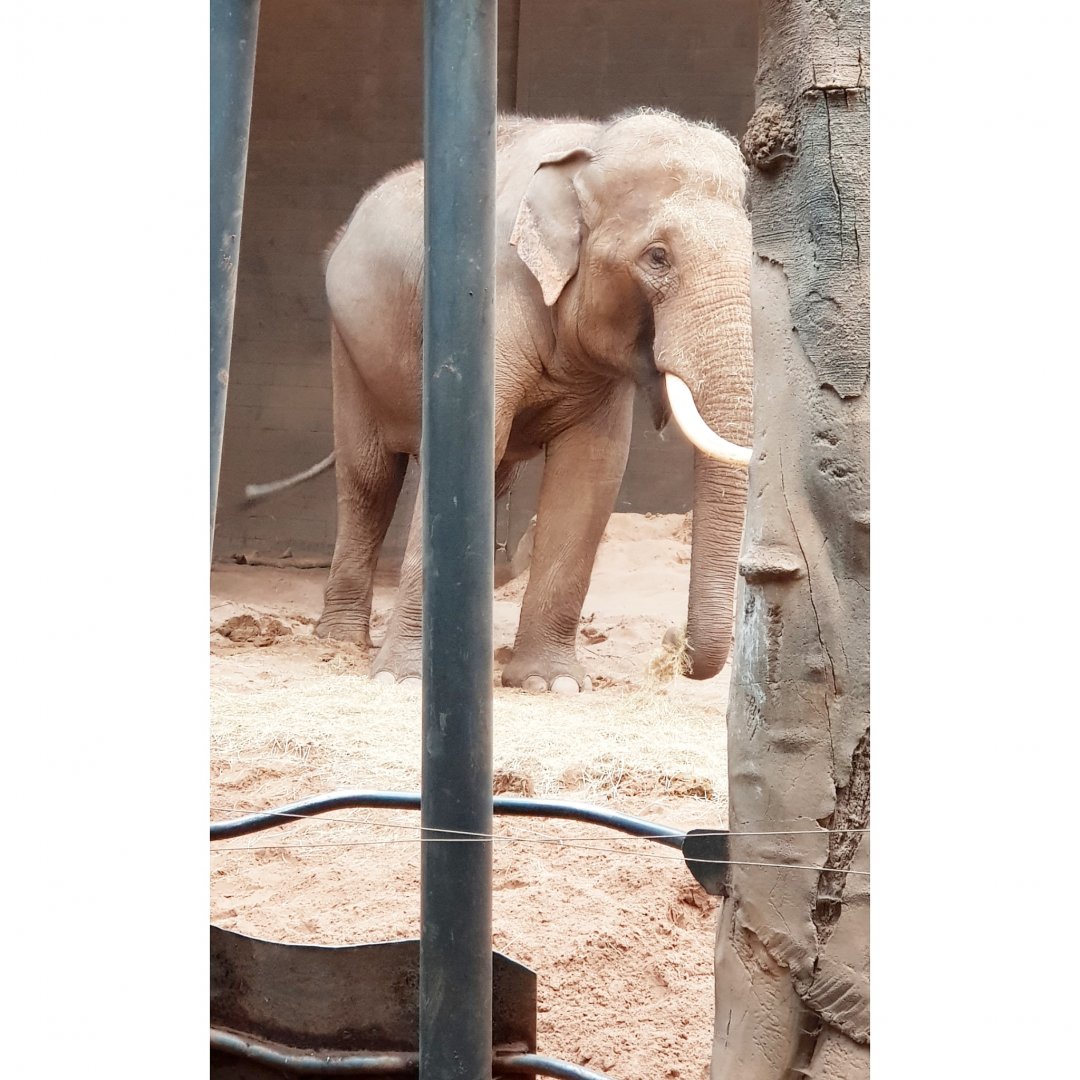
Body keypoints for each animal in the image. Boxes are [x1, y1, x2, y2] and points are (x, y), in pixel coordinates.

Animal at [310, 108, 754, 693]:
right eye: (657, 257)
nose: (669, 641)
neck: (589, 149)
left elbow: (592, 470)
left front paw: (551, 684)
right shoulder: (489, 299)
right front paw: (401, 679)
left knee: (491, 478)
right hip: (349, 347)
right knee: (370, 477)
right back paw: (339, 642)